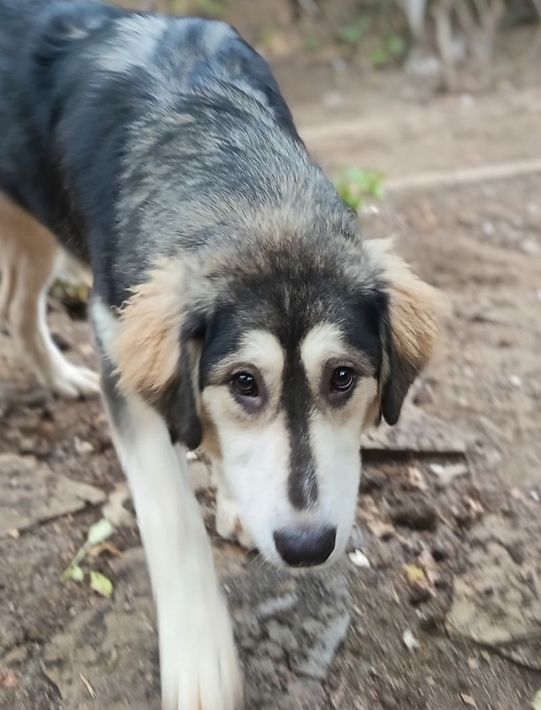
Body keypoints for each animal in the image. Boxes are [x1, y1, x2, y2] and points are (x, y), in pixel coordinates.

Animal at [0, 1, 440, 707]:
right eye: (245, 382)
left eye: (343, 377)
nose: (307, 546)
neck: (235, 172)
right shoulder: (121, 353)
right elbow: (172, 519)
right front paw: (201, 658)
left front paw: (234, 497)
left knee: (17, 306)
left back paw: (57, 376)